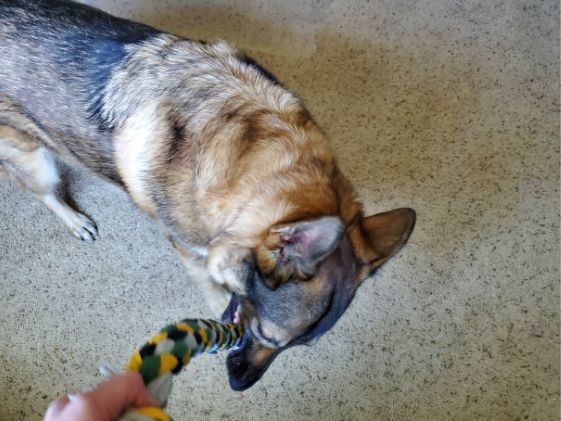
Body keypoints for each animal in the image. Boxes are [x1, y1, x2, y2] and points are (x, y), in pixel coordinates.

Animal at [1, 0, 416, 390]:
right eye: (266, 336)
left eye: (299, 347)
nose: (239, 386)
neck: (249, 162)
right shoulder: (188, 245)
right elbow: (204, 277)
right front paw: (217, 300)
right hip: (36, 158)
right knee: (38, 189)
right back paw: (75, 220)